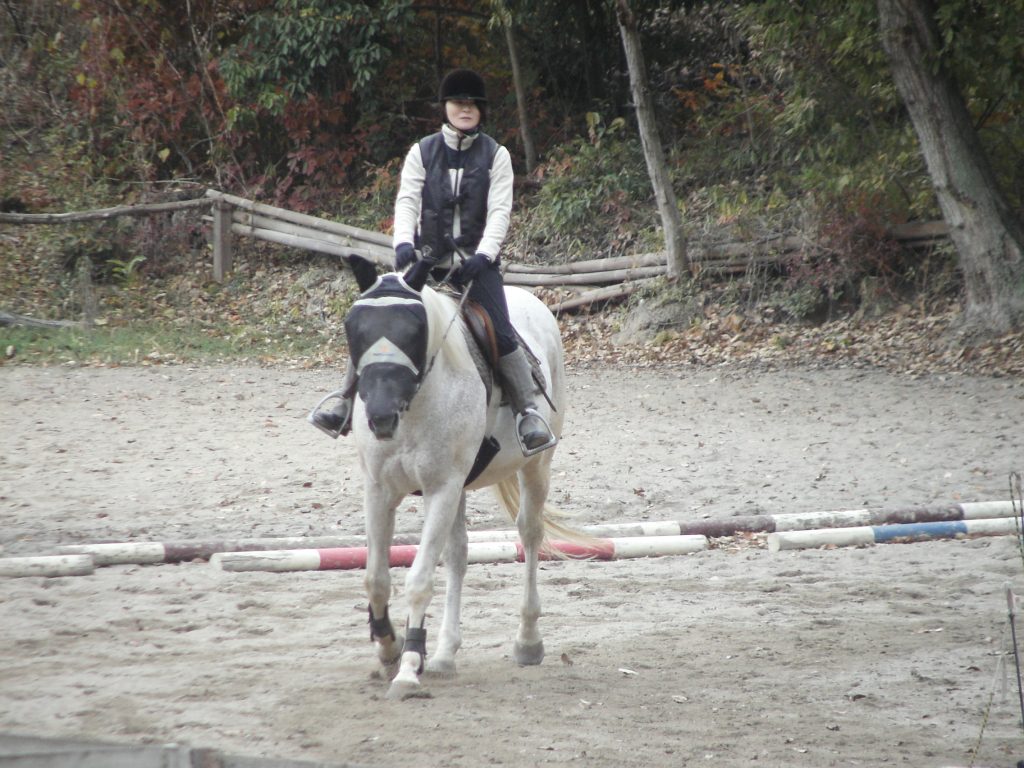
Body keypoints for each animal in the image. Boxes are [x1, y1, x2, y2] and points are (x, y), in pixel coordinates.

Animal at [339, 255, 567, 699]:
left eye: (413, 329)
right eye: (354, 328)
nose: (380, 416)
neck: (414, 406)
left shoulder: (441, 489)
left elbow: (419, 579)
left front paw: (409, 666)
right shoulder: (379, 490)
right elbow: (376, 579)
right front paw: (390, 647)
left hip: (536, 467)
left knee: (530, 534)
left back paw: (528, 640)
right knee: (459, 554)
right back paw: (445, 654)